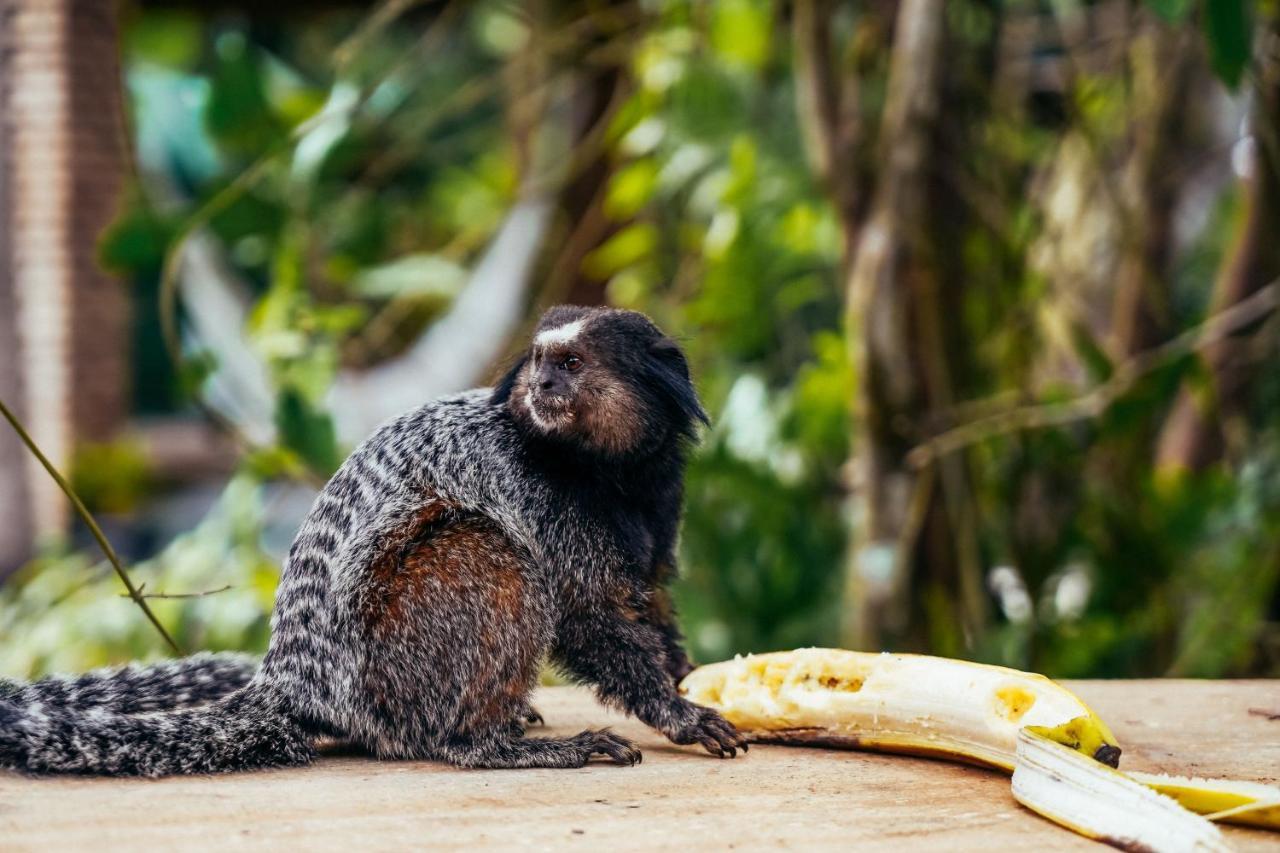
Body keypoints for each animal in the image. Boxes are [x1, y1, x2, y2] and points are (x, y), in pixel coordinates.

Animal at [0, 303, 747, 768]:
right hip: (388, 666)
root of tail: (296, 678)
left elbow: (648, 599)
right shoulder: (546, 500)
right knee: (489, 551)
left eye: (569, 365)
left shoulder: (658, 499)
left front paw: (689, 677)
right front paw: (675, 712)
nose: (540, 383)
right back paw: (489, 742)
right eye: (541, 360)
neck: (605, 473)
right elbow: (584, 613)